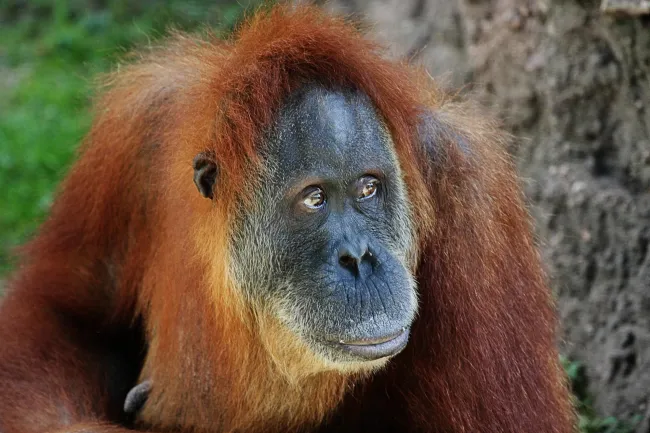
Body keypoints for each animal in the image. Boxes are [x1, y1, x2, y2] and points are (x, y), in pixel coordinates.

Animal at [0, 4, 576, 433]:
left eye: (368, 188)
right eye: (314, 198)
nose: (359, 258)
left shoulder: (472, 189)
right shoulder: (135, 130)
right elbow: (63, 312)